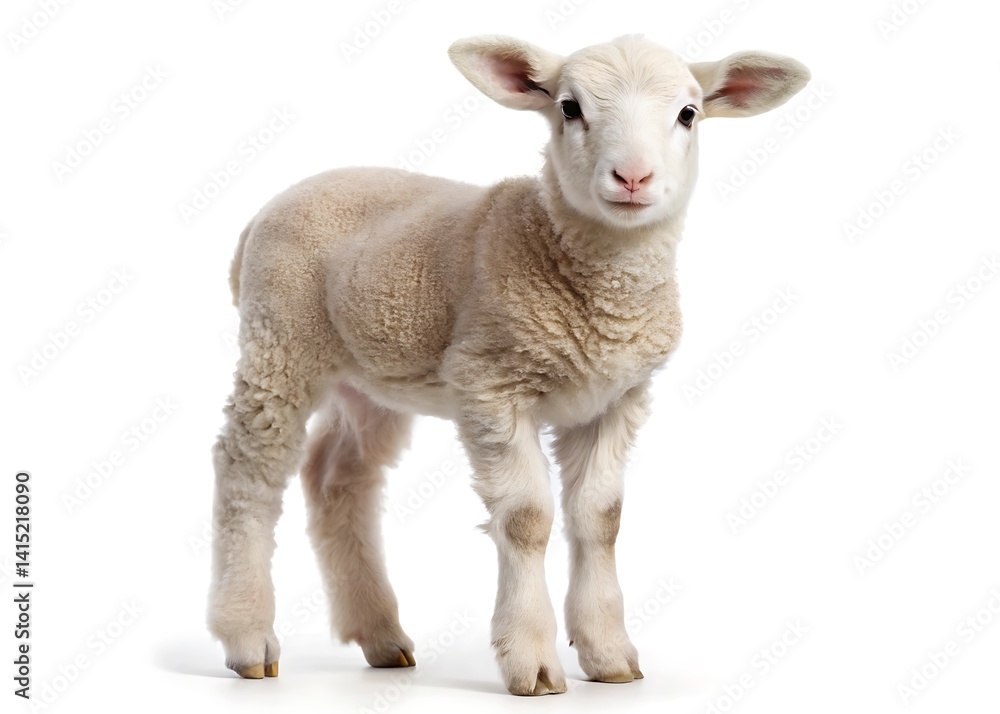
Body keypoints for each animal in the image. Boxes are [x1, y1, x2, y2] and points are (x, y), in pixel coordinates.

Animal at [208, 33, 810, 695]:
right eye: (570, 108)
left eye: (688, 114)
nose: (632, 176)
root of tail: (261, 217)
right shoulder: (491, 384)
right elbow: (526, 519)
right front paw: (533, 660)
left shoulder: (616, 399)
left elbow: (601, 518)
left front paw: (609, 655)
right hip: (280, 341)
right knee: (248, 472)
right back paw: (247, 638)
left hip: (373, 373)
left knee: (339, 477)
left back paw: (381, 636)